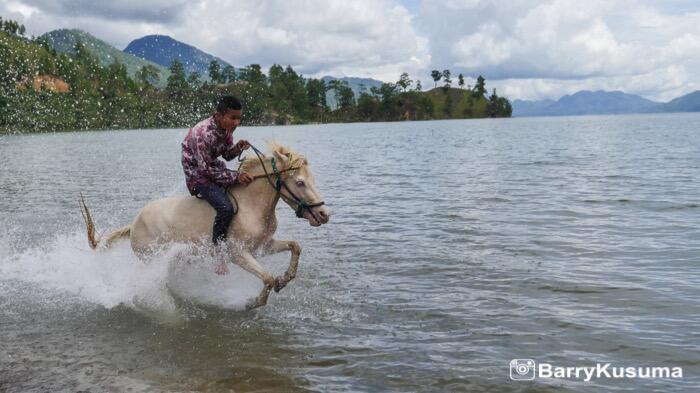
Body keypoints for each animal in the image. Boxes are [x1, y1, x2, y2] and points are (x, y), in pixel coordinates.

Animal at [80, 142, 332, 308]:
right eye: (300, 182)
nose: (324, 214)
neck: (252, 206)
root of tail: (134, 224)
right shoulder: (237, 254)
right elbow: (268, 278)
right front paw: (253, 302)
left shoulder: (263, 246)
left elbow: (295, 246)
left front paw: (285, 279)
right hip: (151, 257)